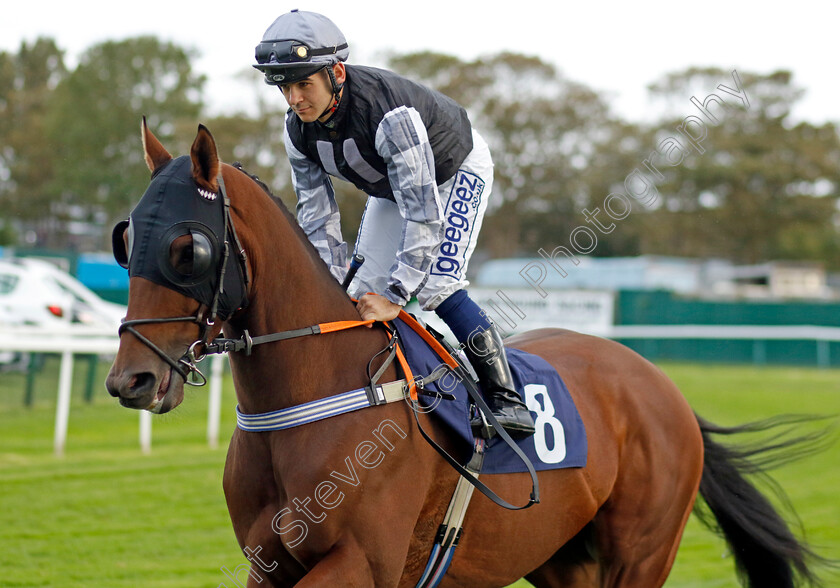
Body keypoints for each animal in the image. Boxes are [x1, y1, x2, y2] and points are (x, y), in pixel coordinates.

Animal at [105, 121, 828, 584]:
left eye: (188, 249)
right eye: (126, 238)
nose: (130, 381)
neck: (316, 395)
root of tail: (661, 385)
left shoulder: (360, 564)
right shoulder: (270, 564)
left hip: (642, 553)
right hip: (559, 557)